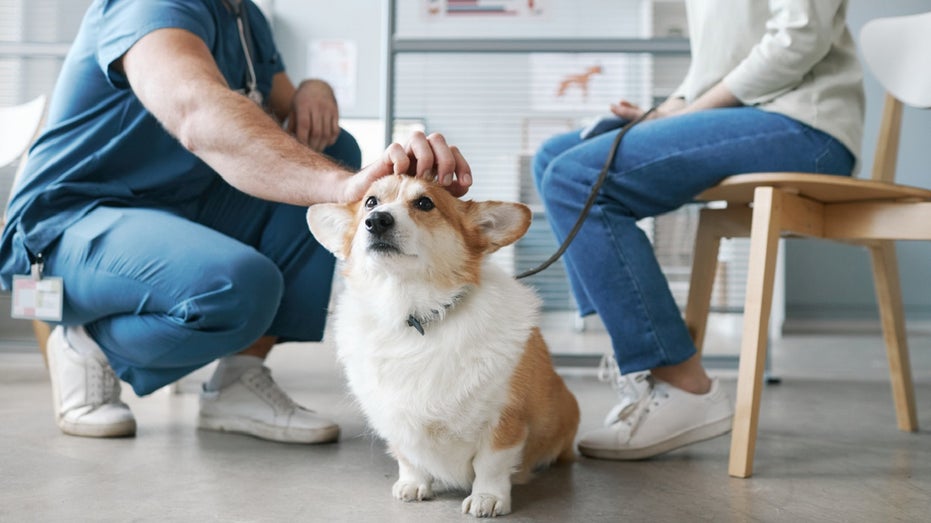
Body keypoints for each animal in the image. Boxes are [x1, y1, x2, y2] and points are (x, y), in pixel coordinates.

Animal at [310, 175, 580, 516]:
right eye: (370, 202)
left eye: (425, 203)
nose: (377, 221)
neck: (413, 314)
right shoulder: (395, 419)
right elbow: (408, 457)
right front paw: (413, 484)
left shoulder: (504, 419)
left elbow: (491, 465)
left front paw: (487, 498)